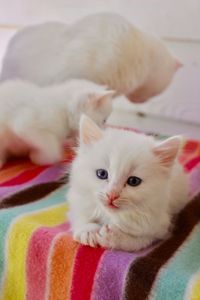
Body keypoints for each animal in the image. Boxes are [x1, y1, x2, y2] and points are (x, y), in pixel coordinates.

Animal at [68, 116, 188, 252]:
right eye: (102, 174)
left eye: (133, 181)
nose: (112, 195)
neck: (111, 215)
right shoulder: (77, 200)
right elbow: (79, 215)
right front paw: (89, 231)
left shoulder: (159, 228)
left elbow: (137, 242)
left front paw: (113, 236)